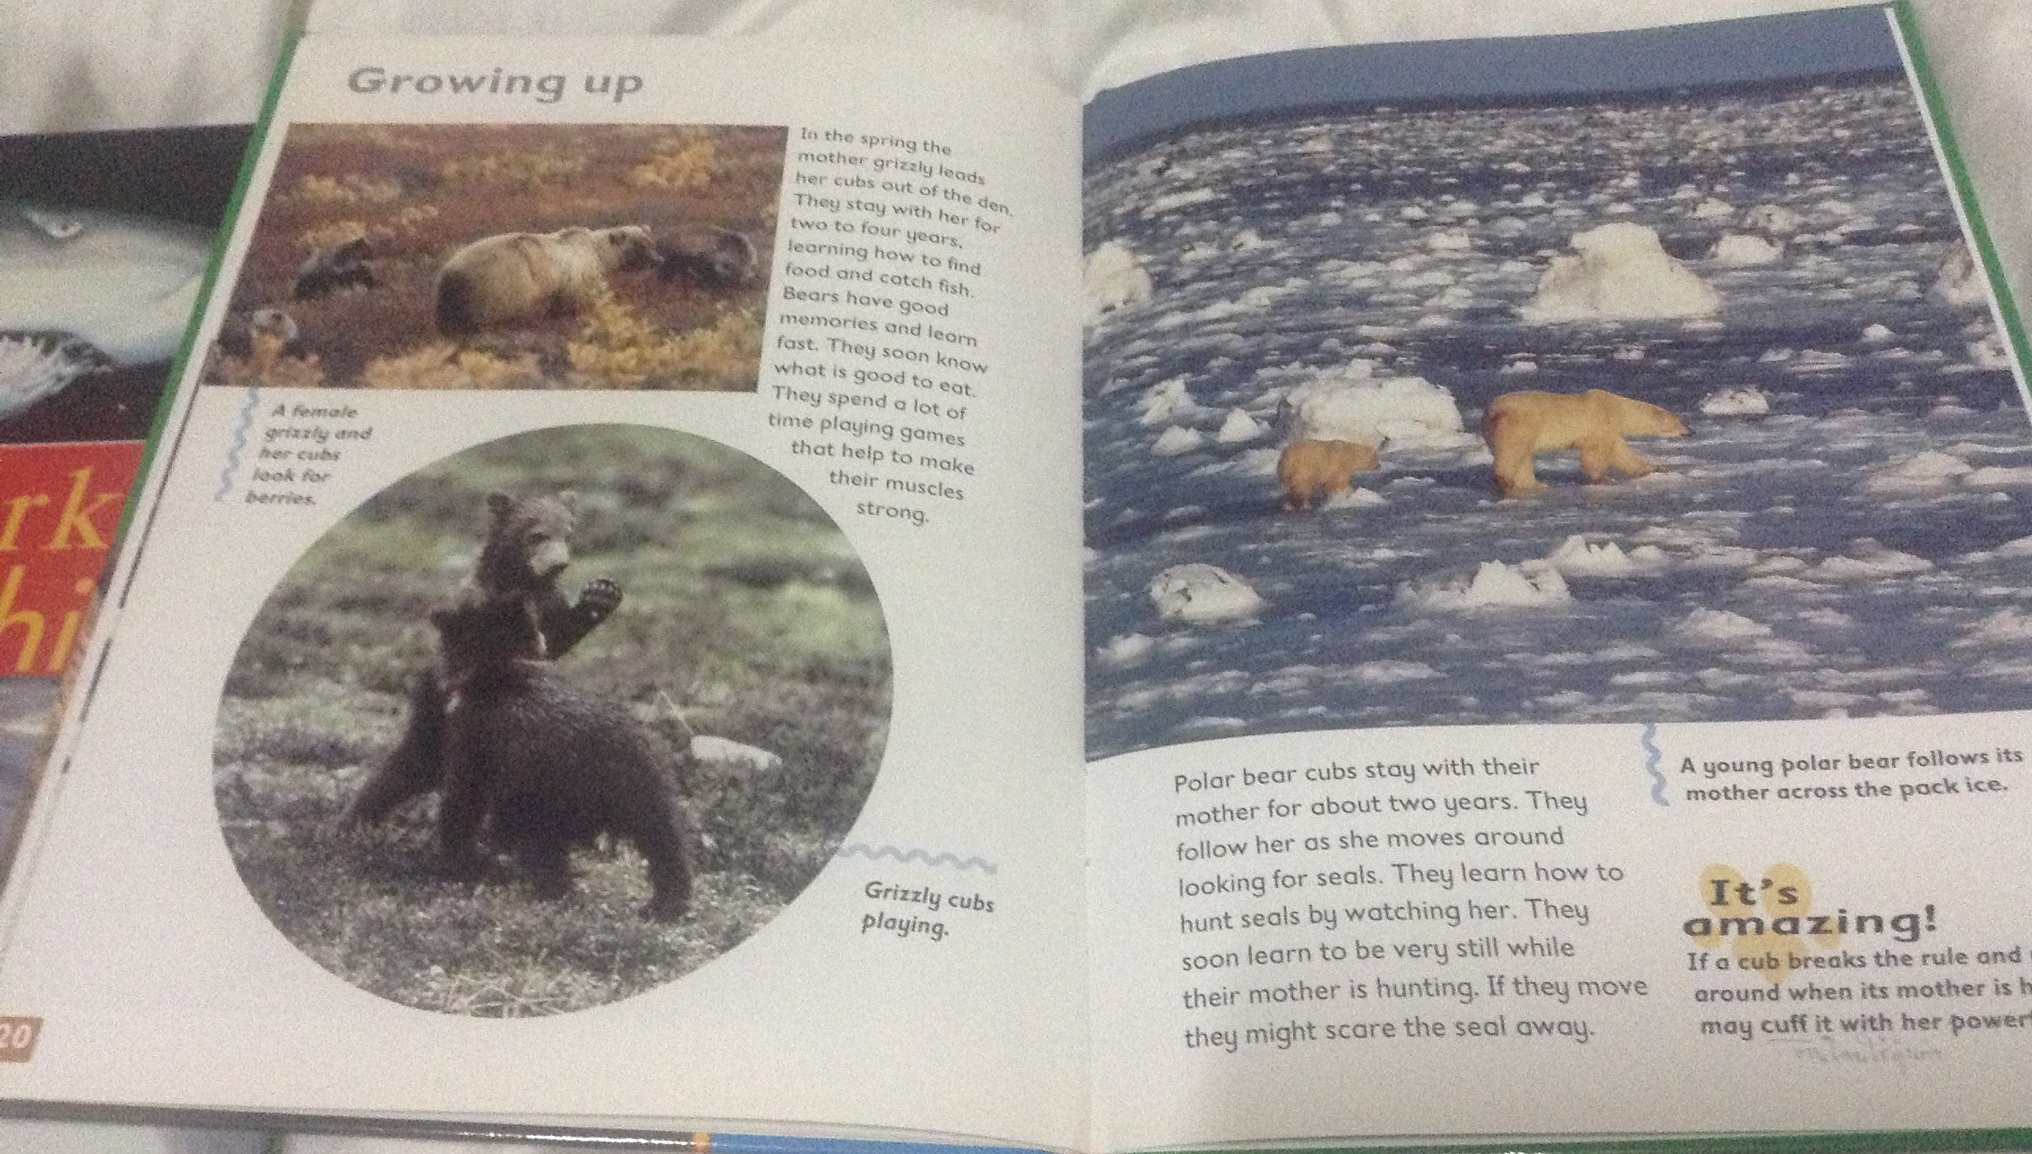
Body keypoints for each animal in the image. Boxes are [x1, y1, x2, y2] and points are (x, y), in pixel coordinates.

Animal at [339, 490, 622, 827]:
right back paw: (353, 821)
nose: (559, 564)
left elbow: (555, 639)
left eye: (568, 533)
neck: (523, 583)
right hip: (432, 709)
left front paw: (601, 594)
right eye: (537, 535)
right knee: (411, 761)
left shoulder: (548, 605)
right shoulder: (476, 605)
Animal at [428, 591, 699, 921]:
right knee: (665, 842)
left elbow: (463, 798)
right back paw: (666, 902)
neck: (503, 670)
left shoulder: (474, 741)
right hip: (646, 786)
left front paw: (457, 859)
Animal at [432, 225, 658, 336]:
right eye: (640, 246)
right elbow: (577, 300)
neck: (598, 253)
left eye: (649, 242)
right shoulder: (577, 275)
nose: (659, 260)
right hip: (497, 288)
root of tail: (448, 274)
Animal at [1481, 388, 1689, 498]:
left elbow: (1621, 454)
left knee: (1523, 456)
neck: (1618, 408)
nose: (1690, 431)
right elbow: (1596, 454)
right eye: (1680, 421)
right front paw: (1604, 479)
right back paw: (1506, 484)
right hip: (1519, 424)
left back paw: (1535, 485)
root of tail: (1492, 410)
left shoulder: (1611, 431)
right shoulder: (1600, 423)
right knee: (1512, 451)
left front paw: (1654, 468)